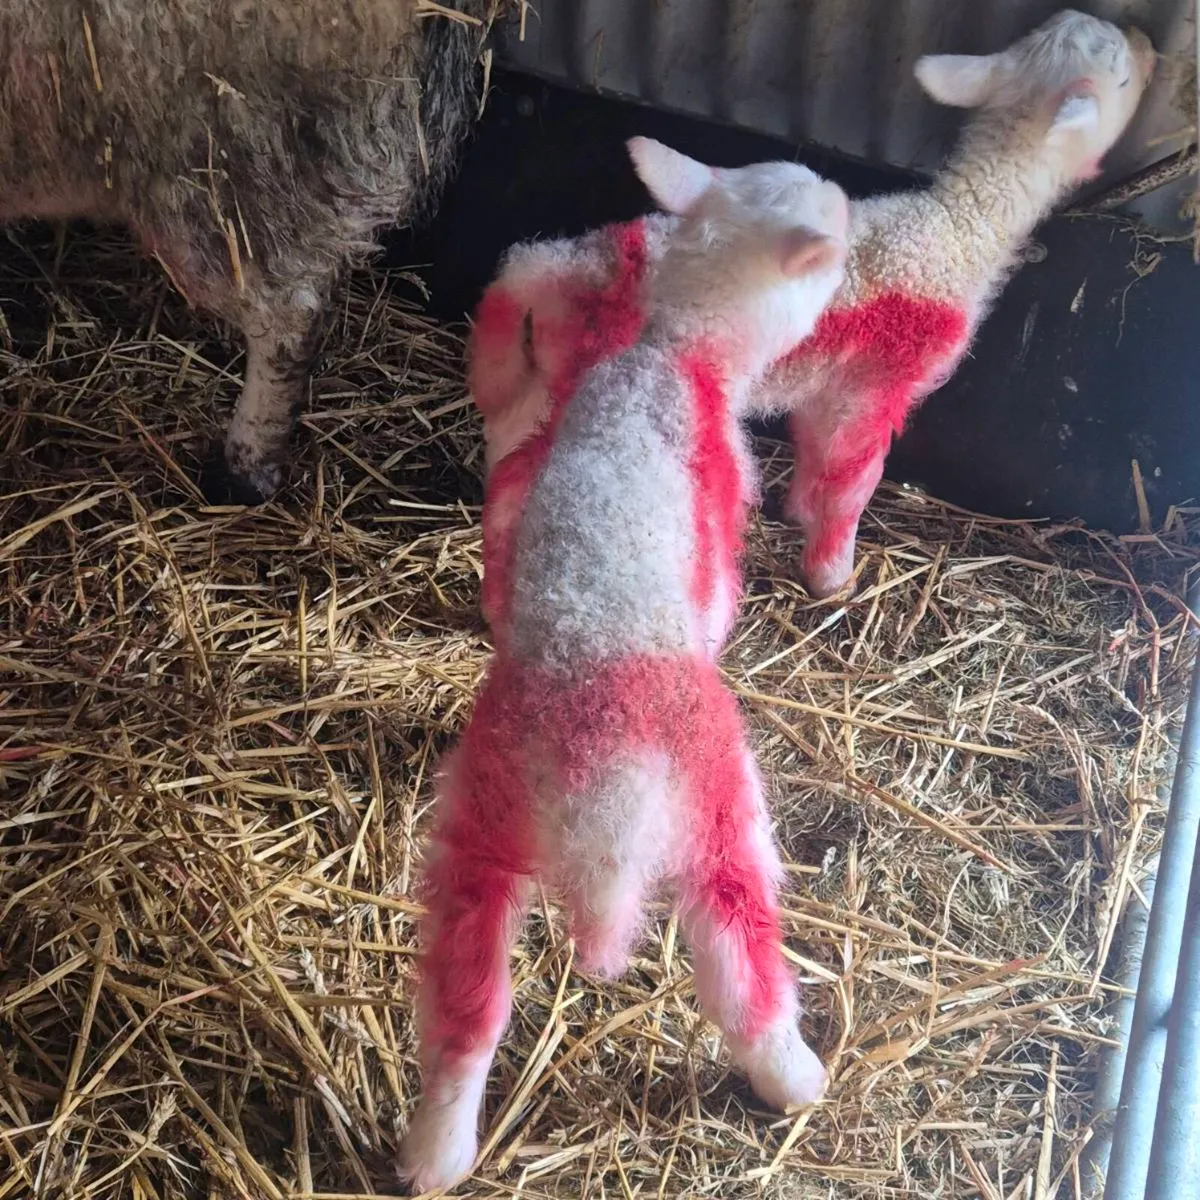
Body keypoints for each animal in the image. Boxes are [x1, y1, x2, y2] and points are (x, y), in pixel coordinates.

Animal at [399, 137, 850, 1194]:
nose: (851, 207)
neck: (666, 350)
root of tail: (602, 786)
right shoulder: (722, 496)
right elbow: (721, 588)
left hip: (480, 827)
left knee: (467, 1008)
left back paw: (436, 1152)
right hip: (723, 812)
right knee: (742, 967)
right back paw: (795, 1079)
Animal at [467, 9, 1154, 598]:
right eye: (1123, 76)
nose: (1149, 42)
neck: (958, 231)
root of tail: (540, 267)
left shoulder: (828, 381)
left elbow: (812, 450)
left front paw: (797, 513)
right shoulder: (880, 383)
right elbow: (854, 481)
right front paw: (832, 576)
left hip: (530, 374)